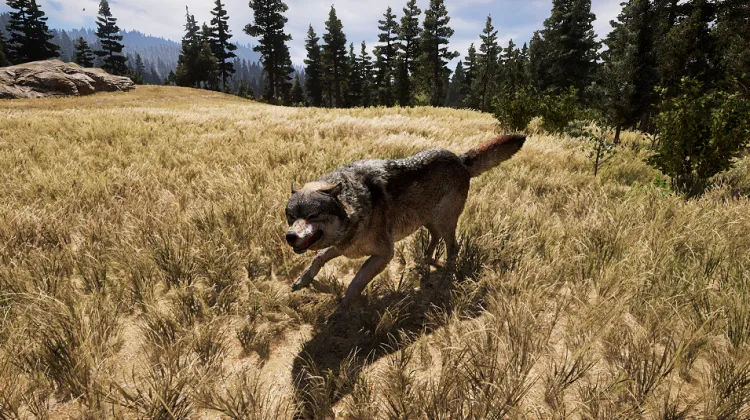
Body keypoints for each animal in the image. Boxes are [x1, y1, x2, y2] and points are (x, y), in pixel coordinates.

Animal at [285, 134, 526, 309]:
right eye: (291, 216)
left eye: (313, 215)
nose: (290, 237)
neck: (356, 207)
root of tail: (459, 159)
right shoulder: (344, 246)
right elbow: (317, 258)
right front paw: (303, 281)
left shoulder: (384, 255)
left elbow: (355, 283)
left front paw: (342, 310)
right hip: (425, 220)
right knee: (435, 238)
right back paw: (425, 259)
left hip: (445, 222)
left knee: (453, 248)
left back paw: (446, 276)